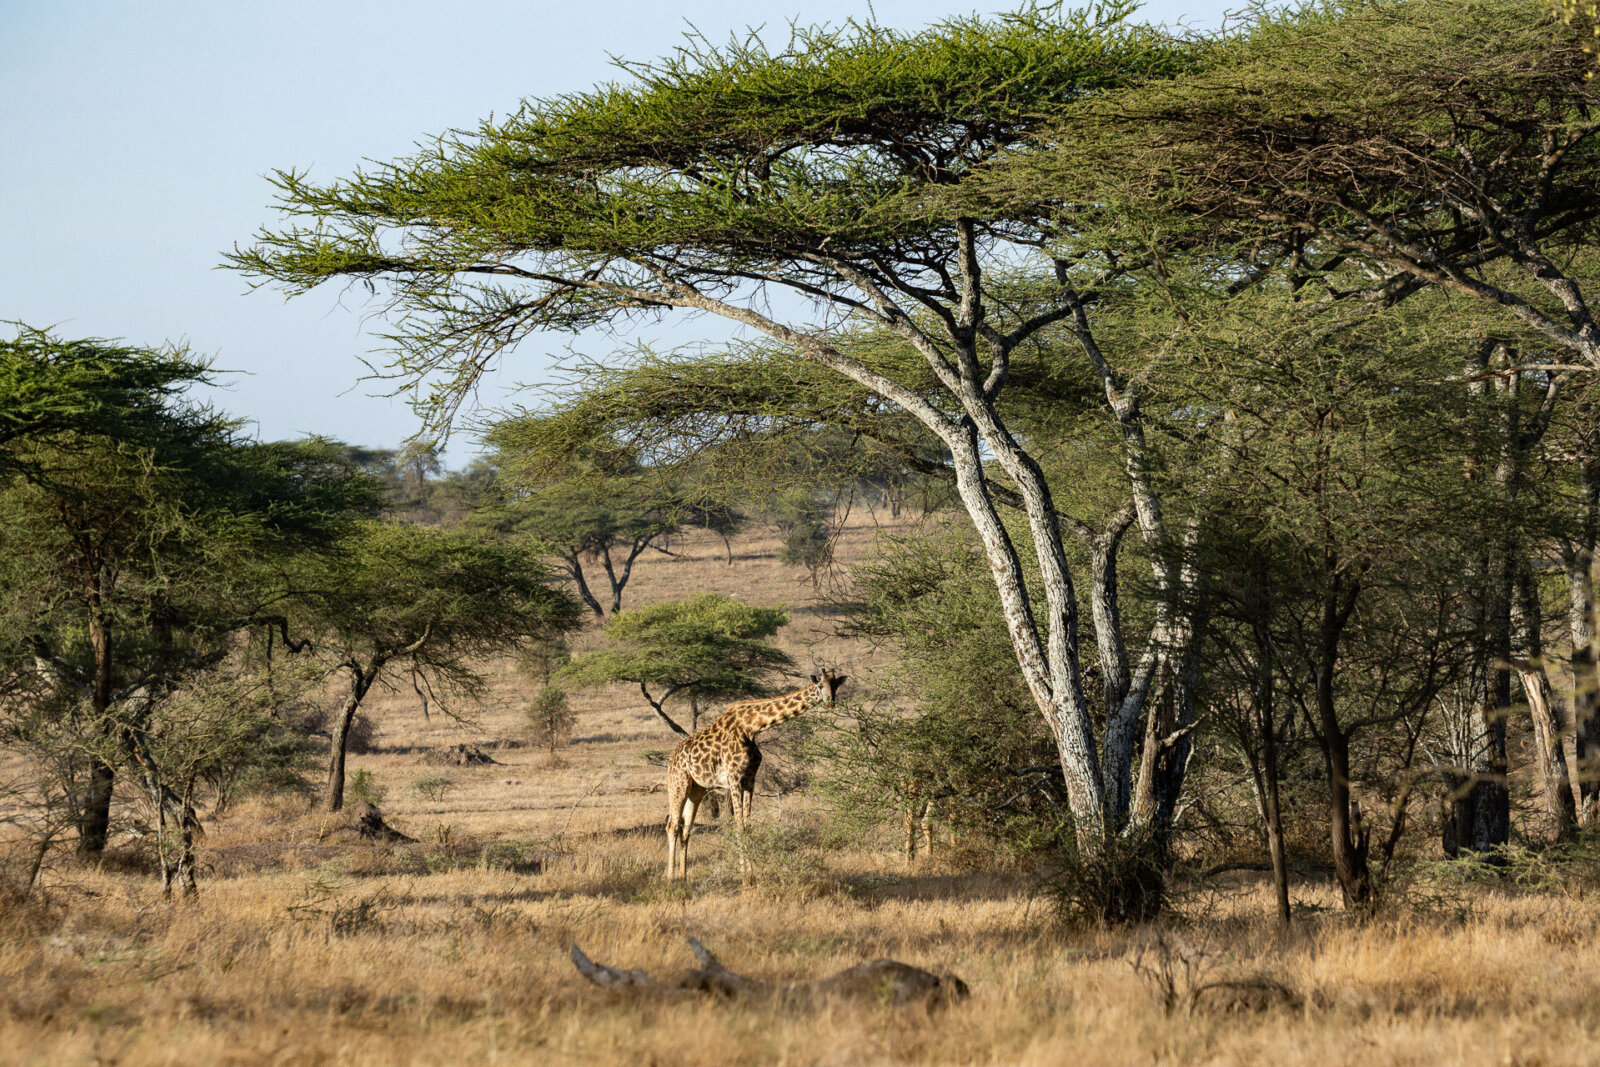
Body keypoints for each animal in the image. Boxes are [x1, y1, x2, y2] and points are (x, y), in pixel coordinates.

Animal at [664, 669, 846, 880]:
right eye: (820, 685)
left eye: (836, 685)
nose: (830, 701)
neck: (752, 727)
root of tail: (672, 757)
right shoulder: (734, 778)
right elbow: (739, 827)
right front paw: (745, 877)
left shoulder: (750, 779)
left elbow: (747, 826)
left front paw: (750, 873)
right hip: (679, 783)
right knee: (673, 825)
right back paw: (671, 878)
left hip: (698, 788)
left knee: (686, 828)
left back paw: (684, 876)